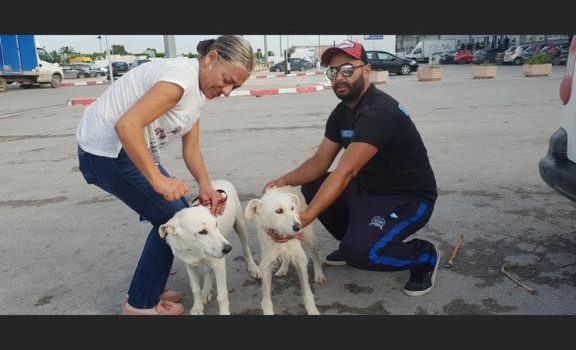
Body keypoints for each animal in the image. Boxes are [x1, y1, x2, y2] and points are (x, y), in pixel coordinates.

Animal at [243, 187, 324, 316]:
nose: (298, 227)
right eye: (279, 211)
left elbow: (307, 291)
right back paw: (283, 269)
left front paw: (312, 310)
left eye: (292, 208)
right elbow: (266, 298)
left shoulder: (300, 259)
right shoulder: (266, 264)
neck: (282, 235)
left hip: (307, 236)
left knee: (315, 254)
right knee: (286, 257)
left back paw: (319, 274)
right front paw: (268, 311)